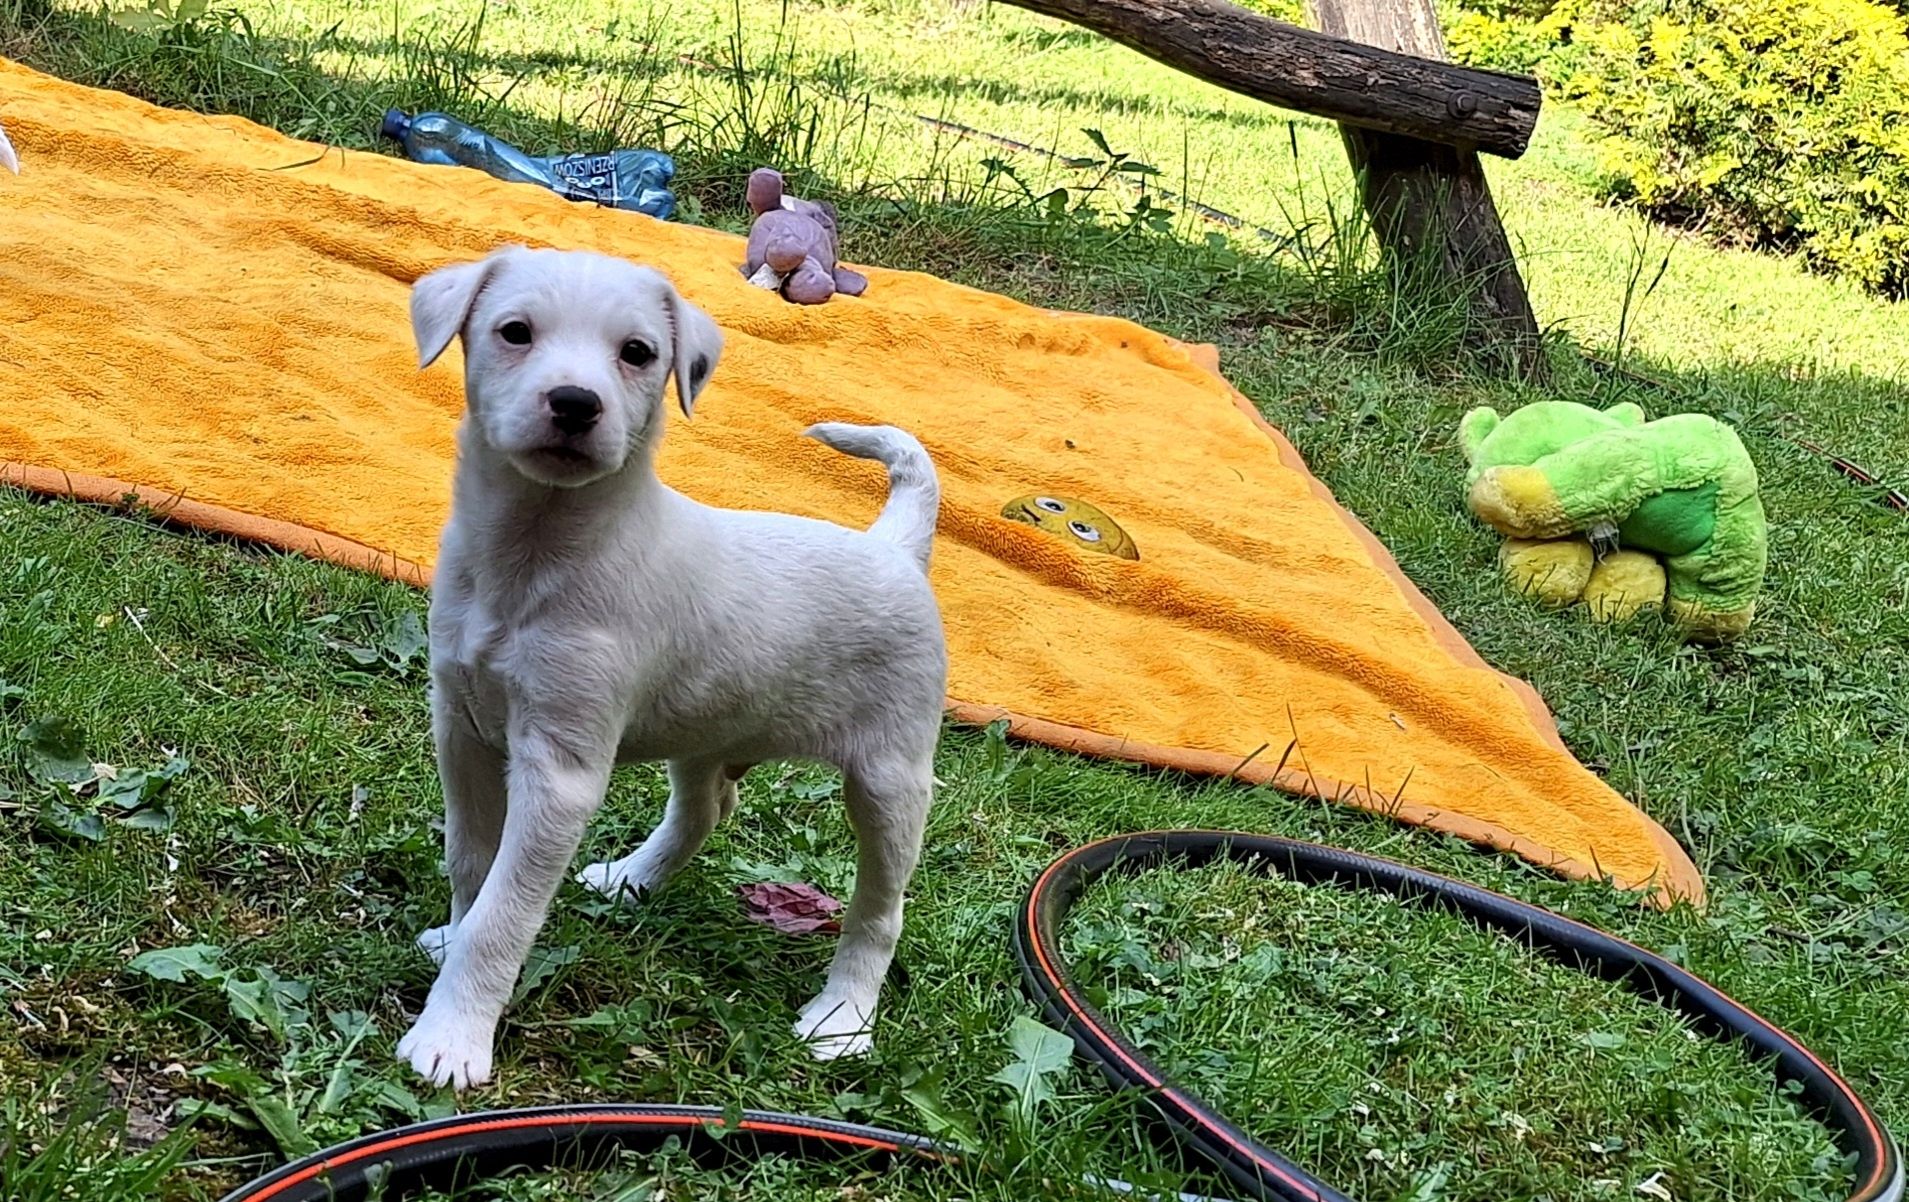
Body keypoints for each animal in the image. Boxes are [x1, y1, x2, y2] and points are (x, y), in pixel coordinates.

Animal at [397, 244, 946, 1091]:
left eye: (637, 353)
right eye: (514, 332)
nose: (574, 403)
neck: (536, 554)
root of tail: (894, 547)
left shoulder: (558, 770)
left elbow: (506, 912)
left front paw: (454, 1035)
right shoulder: (462, 729)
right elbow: (471, 864)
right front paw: (451, 945)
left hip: (889, 778)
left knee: (880, 910)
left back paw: (841, 1020)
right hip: (707, 730)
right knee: (704, 811)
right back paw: (633, 878)